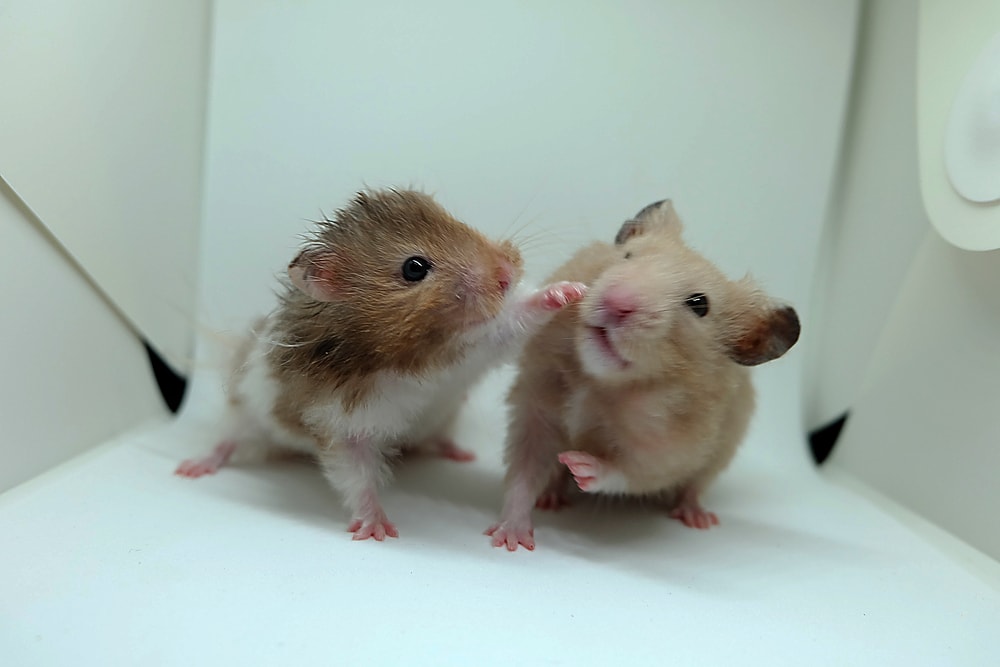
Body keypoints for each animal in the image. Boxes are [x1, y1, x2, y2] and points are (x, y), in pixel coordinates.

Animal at [176, 188, 586, 541]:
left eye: (459, 222)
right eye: (414, 268)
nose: (507, 273)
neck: (417, 354)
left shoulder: (478, 348)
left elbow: (514, 320)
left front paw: (570, 290)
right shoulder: (343, 426)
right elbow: (358, 479)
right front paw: (377, 530)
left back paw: (459, 453)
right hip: (245, 410)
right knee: (226, 439)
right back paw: (192, 468)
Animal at [486, 199, 800, 551]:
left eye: (699, 304)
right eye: (627, 256)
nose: (617, 302)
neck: (597, 382)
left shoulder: (670, 453)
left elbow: (629, 473)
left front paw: (580, 465)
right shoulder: (536, 411)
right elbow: (524, 473)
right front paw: (509, 539)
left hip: (719, 456)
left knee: (694, 488)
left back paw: (697, 518)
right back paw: (552, 498)